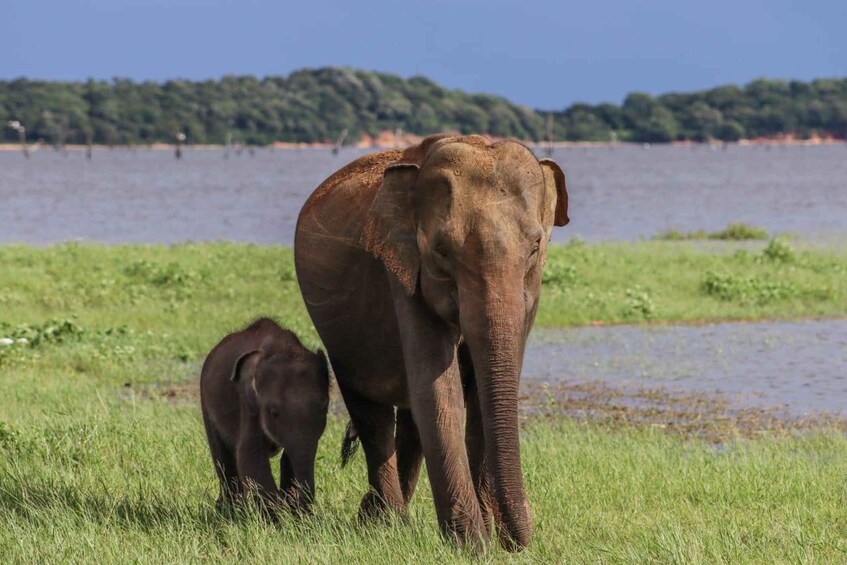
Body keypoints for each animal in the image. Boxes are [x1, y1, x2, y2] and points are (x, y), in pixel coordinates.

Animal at [200, 318, 330, 516]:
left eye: (324, 408)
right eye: (273, 412)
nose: (304, 512)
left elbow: (289, 458)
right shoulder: (249, 406)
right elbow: (250, 456)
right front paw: (279, 518)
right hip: (206, 403)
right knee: (223, 457)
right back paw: (230, 512)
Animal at [294, 134, 568, 551]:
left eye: (536, 245)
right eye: (441, 250)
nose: (517, 539)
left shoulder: (530, 295)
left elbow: (481, 399)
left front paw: (486, 537)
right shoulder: (403, 271)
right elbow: (441, 392)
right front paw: (474, 546)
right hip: (340, 338)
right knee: (372, 415)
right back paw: (383, 525)